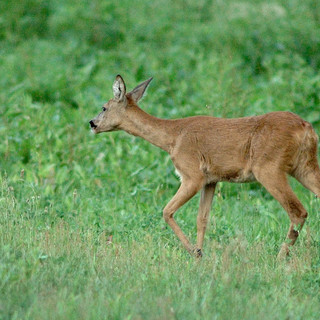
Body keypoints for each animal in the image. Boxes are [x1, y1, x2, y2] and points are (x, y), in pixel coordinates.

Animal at [88, 75, 320, 258]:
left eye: (104, 107)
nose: (91, 123)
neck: (173, 138)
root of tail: (306, 128)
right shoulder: (211, 180)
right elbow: (202, 218)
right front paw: (200, 253)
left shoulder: (192, 175)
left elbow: (167, 210)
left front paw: (193, 251)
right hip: (304, 166)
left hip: (269, 168)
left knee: (298, 211)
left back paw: (280, 256)